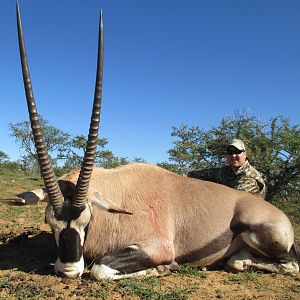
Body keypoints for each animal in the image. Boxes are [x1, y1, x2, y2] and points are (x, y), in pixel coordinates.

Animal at [15, 3, 298, 278]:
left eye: (86, 220)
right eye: (49, 222)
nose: (69, 270)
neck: (115, 196)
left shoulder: (156, 248)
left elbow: (100, 269)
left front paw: (165, 267)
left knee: (288, 265)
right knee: (237, 262)